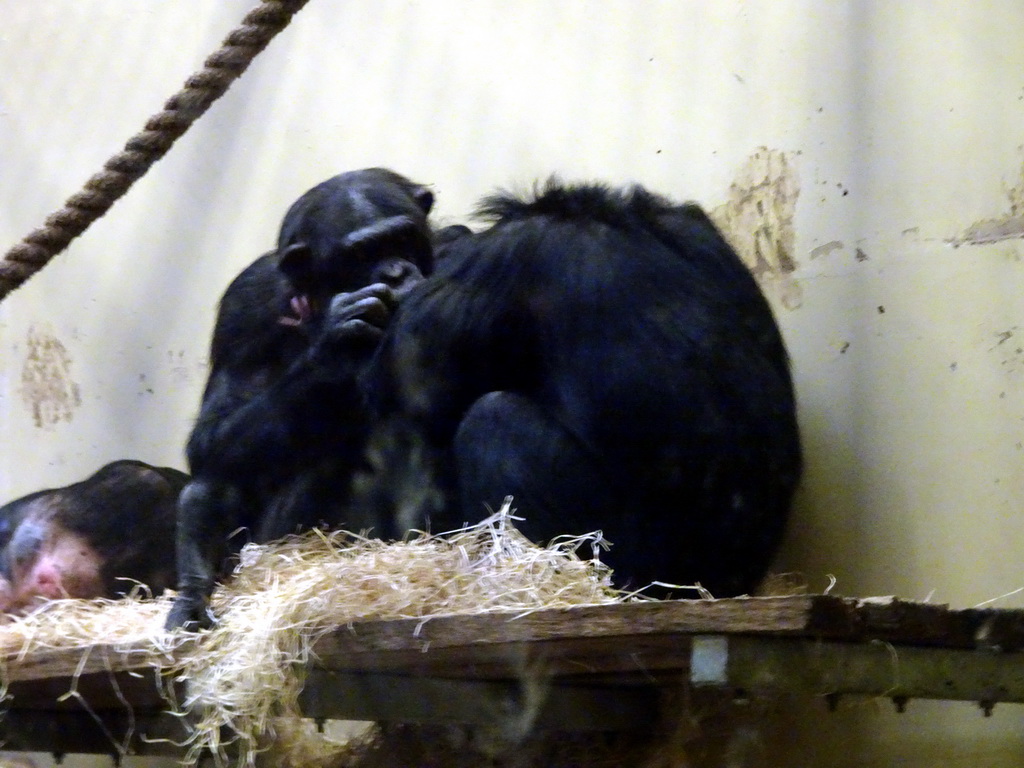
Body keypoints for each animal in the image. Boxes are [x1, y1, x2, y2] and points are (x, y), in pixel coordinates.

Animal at [166, 167, 436, 630]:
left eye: (402, 238)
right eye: (361, 253)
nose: (397, 271)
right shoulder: (245, 301)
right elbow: (210, 436)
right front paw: (337, 338)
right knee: (218, 475)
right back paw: (193, 595)